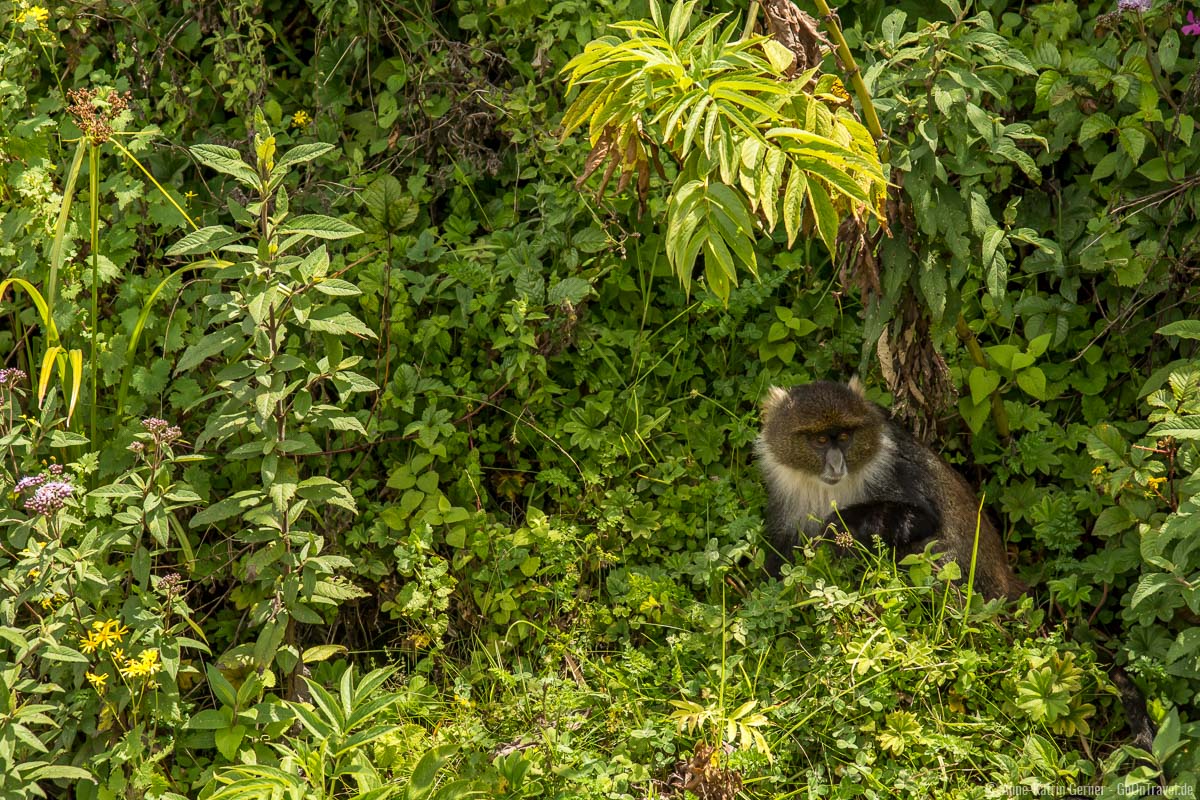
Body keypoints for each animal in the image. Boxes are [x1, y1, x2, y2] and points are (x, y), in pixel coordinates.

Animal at [758, 381, 1022, 599]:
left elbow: (923, 518)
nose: (836, 465)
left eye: (844, 436)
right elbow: (782, 554)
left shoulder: (893, 467)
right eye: (820, 440)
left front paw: (839, 523)